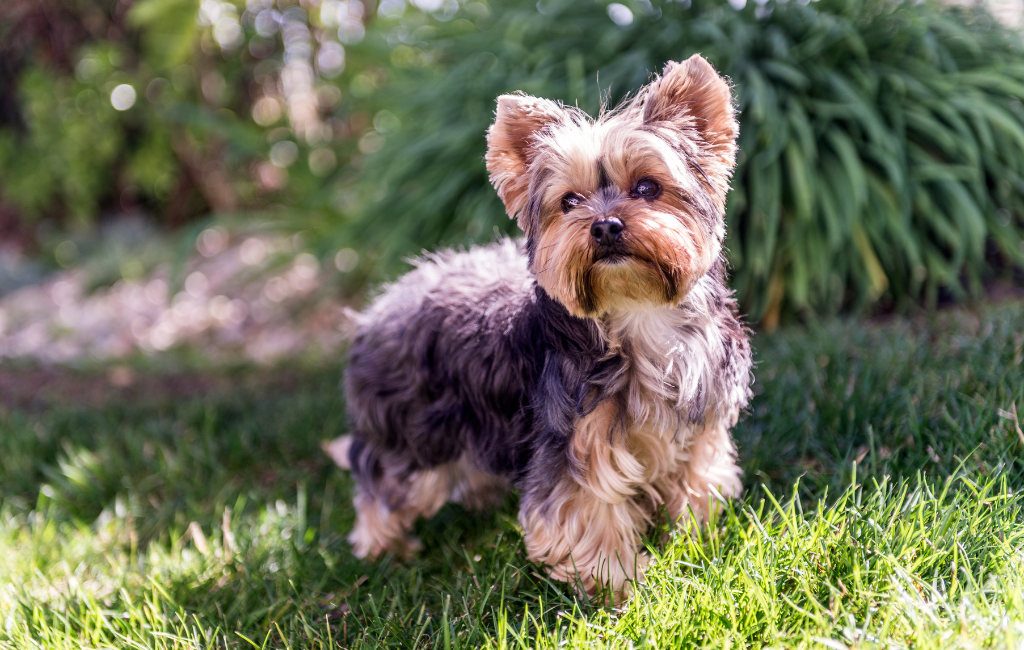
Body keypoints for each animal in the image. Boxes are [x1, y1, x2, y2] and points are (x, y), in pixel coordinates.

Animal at [327, 54, 753, 601]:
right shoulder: (573, 442)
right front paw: (617, 588)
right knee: (382, 481)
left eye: (647, 187)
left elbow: (699, 479)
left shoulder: (700, 423)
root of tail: (377, 308)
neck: (637, 313)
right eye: (569, 201)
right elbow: (586, 514)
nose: (605, 226)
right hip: (413, 429)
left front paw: (694, 538)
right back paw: (384, 548)